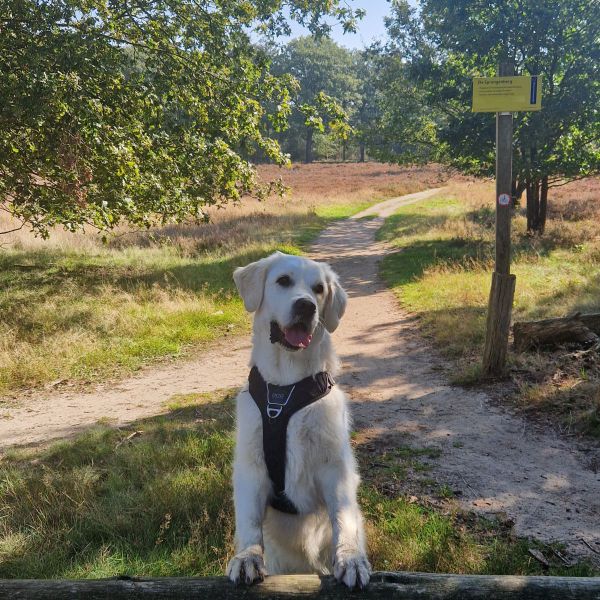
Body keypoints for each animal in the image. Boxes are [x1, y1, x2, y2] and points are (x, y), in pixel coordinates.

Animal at [226, 251, 370, 588]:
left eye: (319, 289)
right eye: (283, 281)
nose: (306, 306)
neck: (286, 386)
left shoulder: (335, 467)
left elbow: (343, 518)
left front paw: (350, 559)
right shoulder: (250, 466)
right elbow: (249, 522)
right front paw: (247, 558)